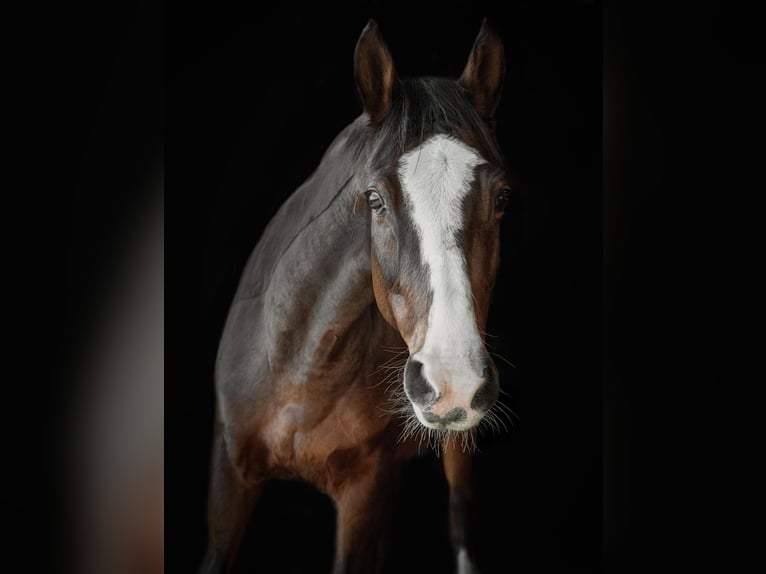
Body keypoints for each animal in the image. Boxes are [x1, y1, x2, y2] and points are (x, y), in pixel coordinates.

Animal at [201, 18, 512, 574]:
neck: (298, 371)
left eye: (501, 198)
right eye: (375, 198)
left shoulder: (364, 491)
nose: (452, 381)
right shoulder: (229, 477)